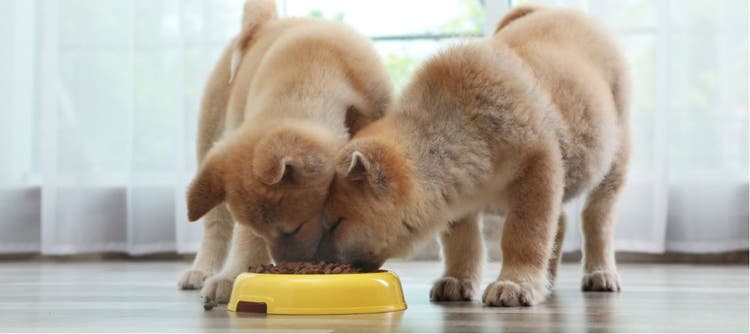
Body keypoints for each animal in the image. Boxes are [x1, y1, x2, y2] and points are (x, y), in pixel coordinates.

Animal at [179, 0, 394, 306]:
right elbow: (245, 237)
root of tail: (264, 25)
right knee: (215, 224)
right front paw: (233, 276)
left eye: (294, 228)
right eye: (264, 232)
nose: (287, 267)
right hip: (211, 139)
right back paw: (203, 270)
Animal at [320, 5, 632, 308]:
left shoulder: (537, 171)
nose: (323, 262)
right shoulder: (456, 199)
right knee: (563, 221)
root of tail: (556, 11)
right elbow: (463, 243)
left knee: (597, 221)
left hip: (613, 164)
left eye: (337, 223)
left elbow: (525, 235)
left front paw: (516, 284)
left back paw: (600, 274)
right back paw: (549, 281)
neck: (463, 125)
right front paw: (457, 280)